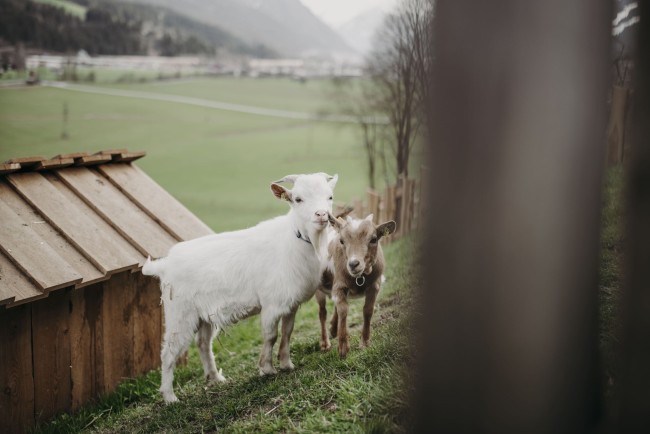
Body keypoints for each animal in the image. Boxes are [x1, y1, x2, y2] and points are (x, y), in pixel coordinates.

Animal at [142, 172, 338, 403]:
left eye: (330, 196)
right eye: (297, 199)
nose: (321, 214)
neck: (295, 240)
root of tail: (165, 264)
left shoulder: (291, 304)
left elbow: (287, 332)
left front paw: (286, 364)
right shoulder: (271, 305)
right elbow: (271, 335)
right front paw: (267, 369)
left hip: (203, 316)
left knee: (203, 343)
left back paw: (215, 378)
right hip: (180, 314)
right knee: (169, 352)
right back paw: (170, 397)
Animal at [315, 213, 396, 358]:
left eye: (373, 239)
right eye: (341, 241)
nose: (353, 264)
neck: (360, 277)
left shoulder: (375, 286)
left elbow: (368, 310)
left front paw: (365, 343)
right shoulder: (339, 285)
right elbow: (343, 310)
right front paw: (343, 348)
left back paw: (333, 329)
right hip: (319, 287)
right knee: (322, 312)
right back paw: (325, 343)